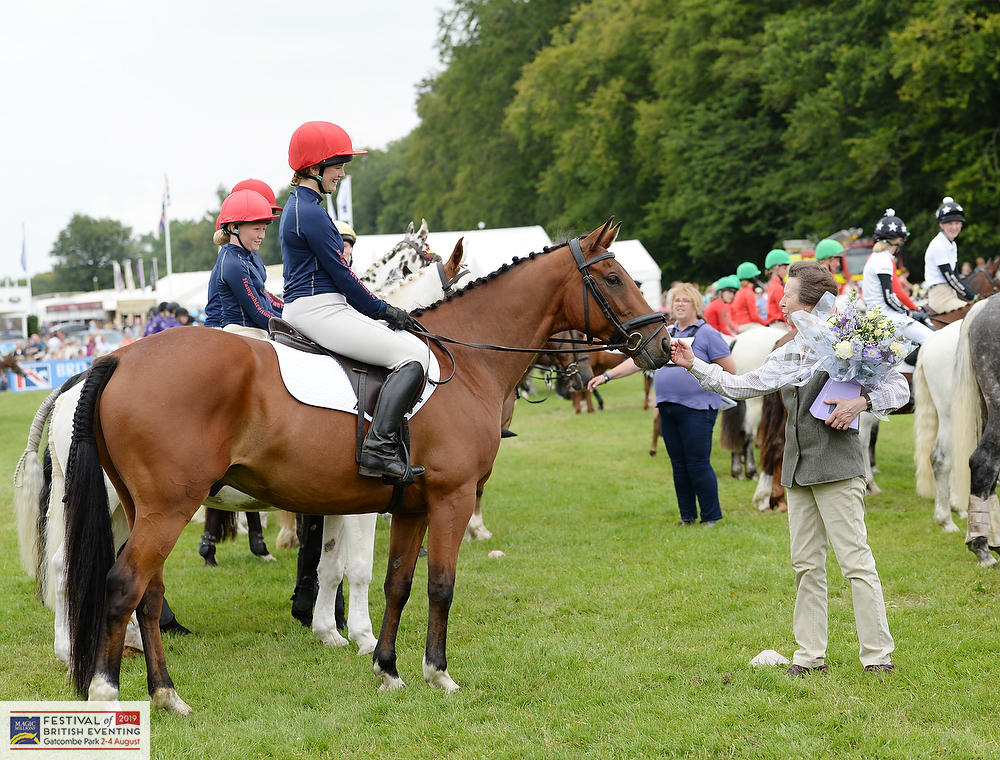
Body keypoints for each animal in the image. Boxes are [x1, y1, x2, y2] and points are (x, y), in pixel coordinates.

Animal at [58, 221, 668, 712]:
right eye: (613, 278)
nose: (661, 343)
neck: (464, 362)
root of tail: (118, 358)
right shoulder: (450, 497)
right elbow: (437, 584)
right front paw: (437, 674)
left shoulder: (411, 506)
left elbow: (397, 582)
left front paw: (387, 669)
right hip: (165, 508)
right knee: (120, 584)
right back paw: (106, 692)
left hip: (142, 509)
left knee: (146, 593)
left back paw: (165, 693)